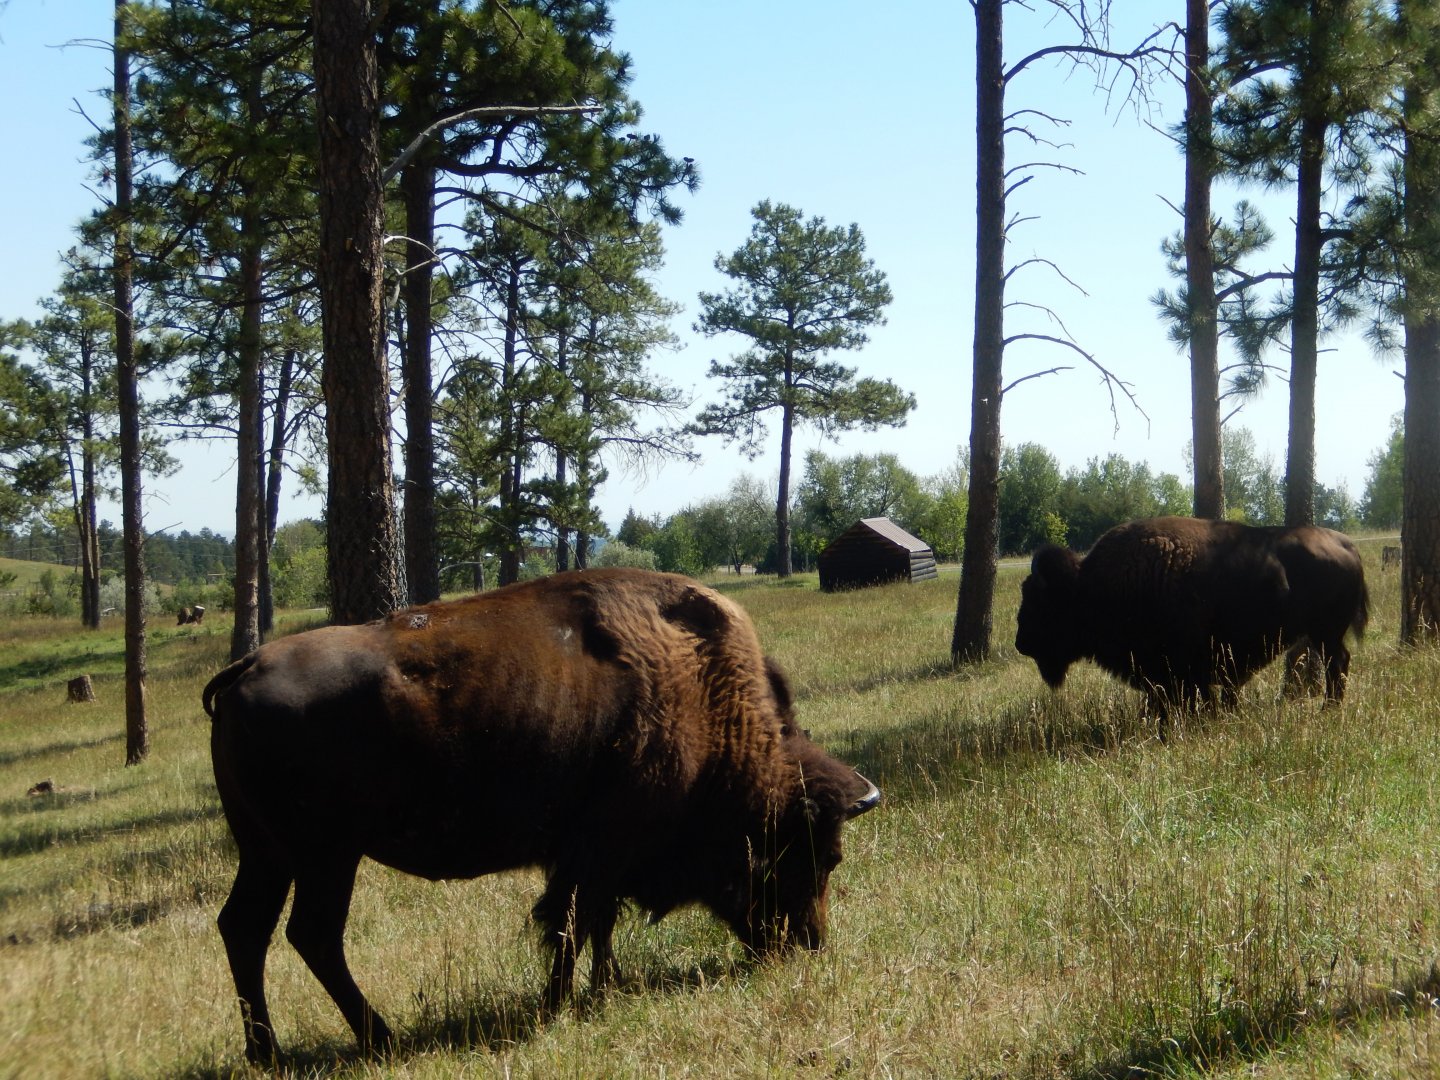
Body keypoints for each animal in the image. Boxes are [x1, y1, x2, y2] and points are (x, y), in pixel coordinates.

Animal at [204, 567, 879, 1062]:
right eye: (817, 856)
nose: (806, 945)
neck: (698, 681)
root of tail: (245, 668)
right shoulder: (595, 851)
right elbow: (571, 925)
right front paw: (558, 1006)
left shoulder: (592, 860)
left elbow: (594, 925)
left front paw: (601, 990)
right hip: (325, 856)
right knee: (312, 934)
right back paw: (380, 1039)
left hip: (267, 853)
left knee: (245, 928)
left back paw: (267, 1054)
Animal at [1015, 516, 1368, 714]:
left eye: (1040, 602)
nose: (1021, 642)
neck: (1089, 587)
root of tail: (1346, 544)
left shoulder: (1178, 669)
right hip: (1324, 634)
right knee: (1340, 661)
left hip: (1325, 633)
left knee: (1337, 663)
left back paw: (1328, 709)